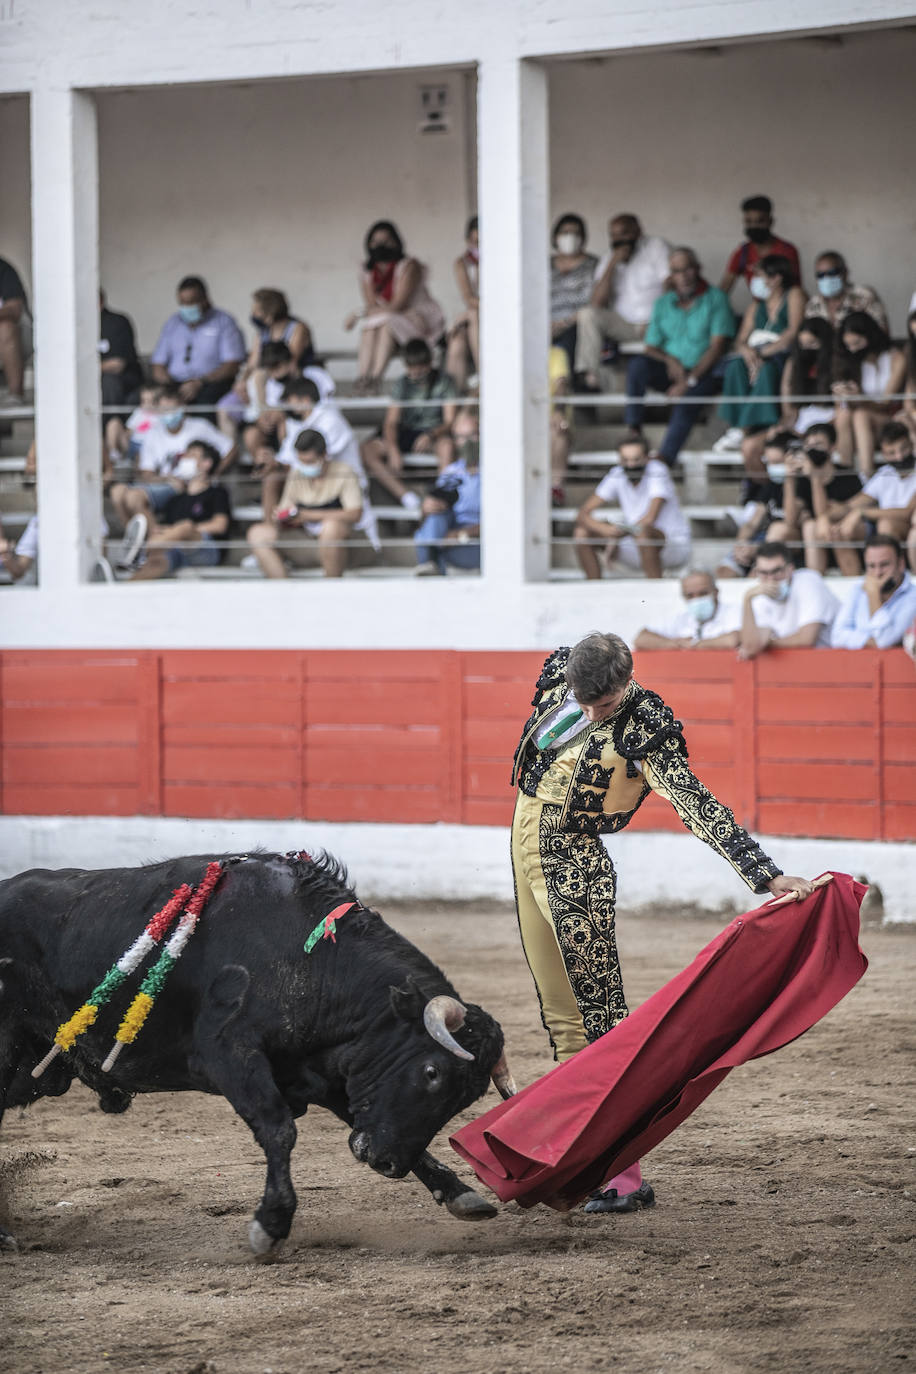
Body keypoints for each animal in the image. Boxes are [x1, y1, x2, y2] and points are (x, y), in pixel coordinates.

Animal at [0, 846, 516, 1258]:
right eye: (431, 1073)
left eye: (466, 1098)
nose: (387, 1163)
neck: (302, 954)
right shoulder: (229, 1054)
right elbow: (278, 1129)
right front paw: (271, 1225)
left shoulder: (318, 1071)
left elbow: (360, 1116)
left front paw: (459, 1193)